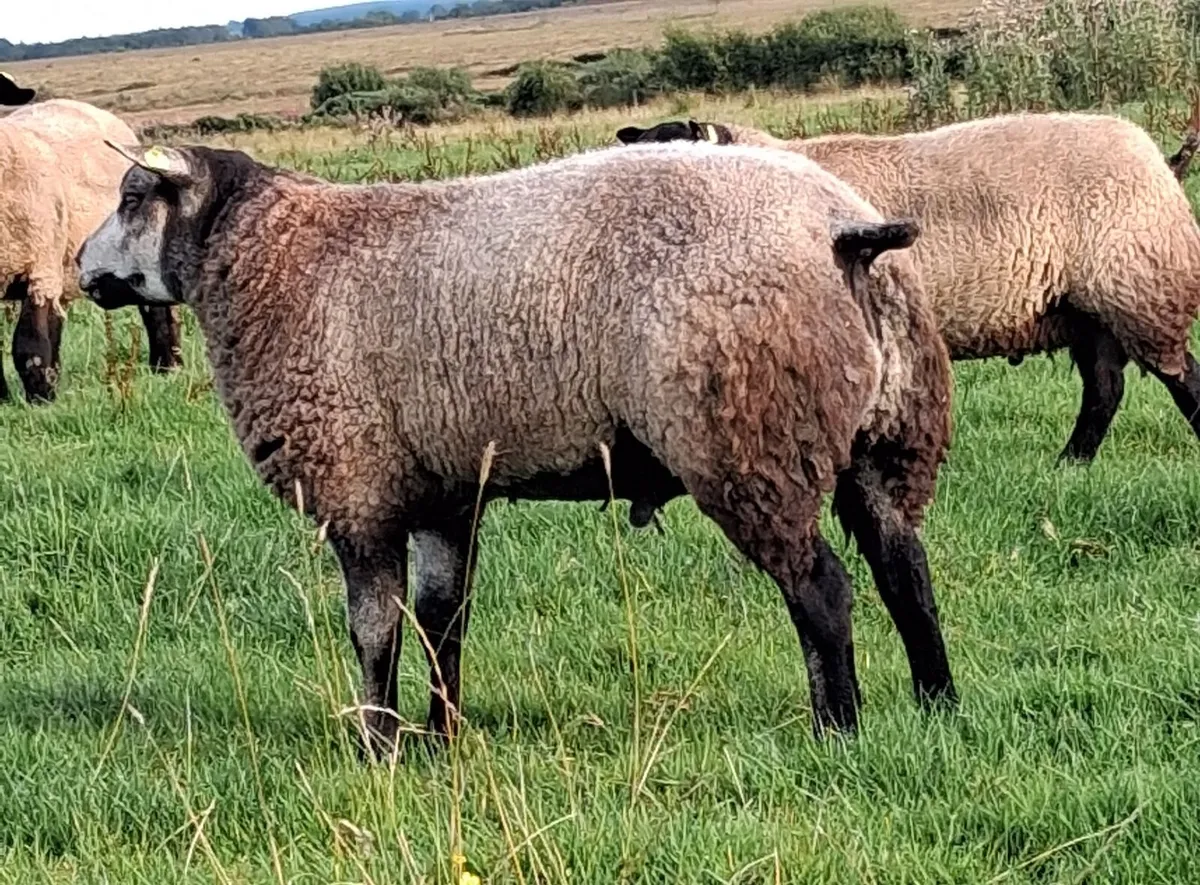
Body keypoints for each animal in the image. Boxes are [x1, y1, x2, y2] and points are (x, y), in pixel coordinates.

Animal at [77, 138, 955, 754]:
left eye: (131, 196)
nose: (82, 266)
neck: (265, 255)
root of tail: (845, 230)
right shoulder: (441, 490)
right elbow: (443, 621)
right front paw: (441, 738)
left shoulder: (357, 487)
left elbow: (374, 628)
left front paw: (376, 743)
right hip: (886, 433)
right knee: (904, 570)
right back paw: (936, 705)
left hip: (750, 438)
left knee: (823, 590)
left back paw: (837, 729)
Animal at [616, 112, 1200, 462]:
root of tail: (1157, 158)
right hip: (1089, 309)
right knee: (1105, 390)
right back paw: (1070, 464)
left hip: (1138, 286)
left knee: (1178, 377)